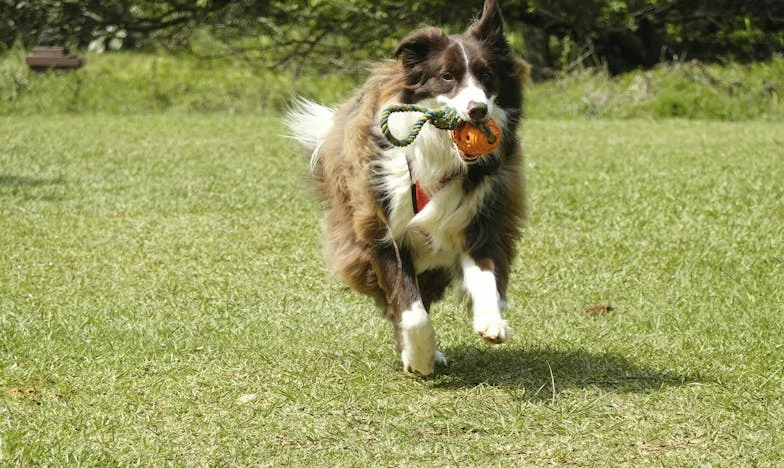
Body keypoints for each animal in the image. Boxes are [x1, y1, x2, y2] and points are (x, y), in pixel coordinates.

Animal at [286, 0, 528, 374]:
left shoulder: (482, 214)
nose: (477, 110)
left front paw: (491, 321)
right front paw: (419, 357)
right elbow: (410, 310)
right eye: (447, 76)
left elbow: (486, 273)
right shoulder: (382, 227)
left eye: (487, 75)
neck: (439, 153)